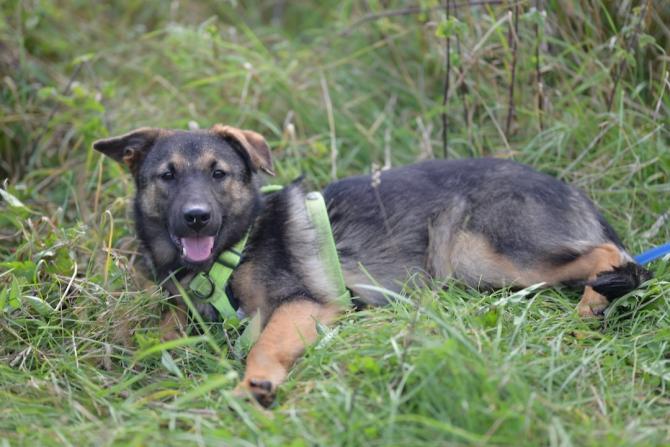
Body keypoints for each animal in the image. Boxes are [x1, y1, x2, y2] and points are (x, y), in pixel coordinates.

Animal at [93, 124, 650, 406]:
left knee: (609, 256)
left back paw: (591, 305)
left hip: (477, 251)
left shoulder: (304, 302)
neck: (233, 248)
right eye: (167, 176)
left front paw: (255, 385)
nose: (196, 218)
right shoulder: (183, 311)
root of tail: (572, 190)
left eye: (218, 174)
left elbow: (265, 343)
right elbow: (157, 337)